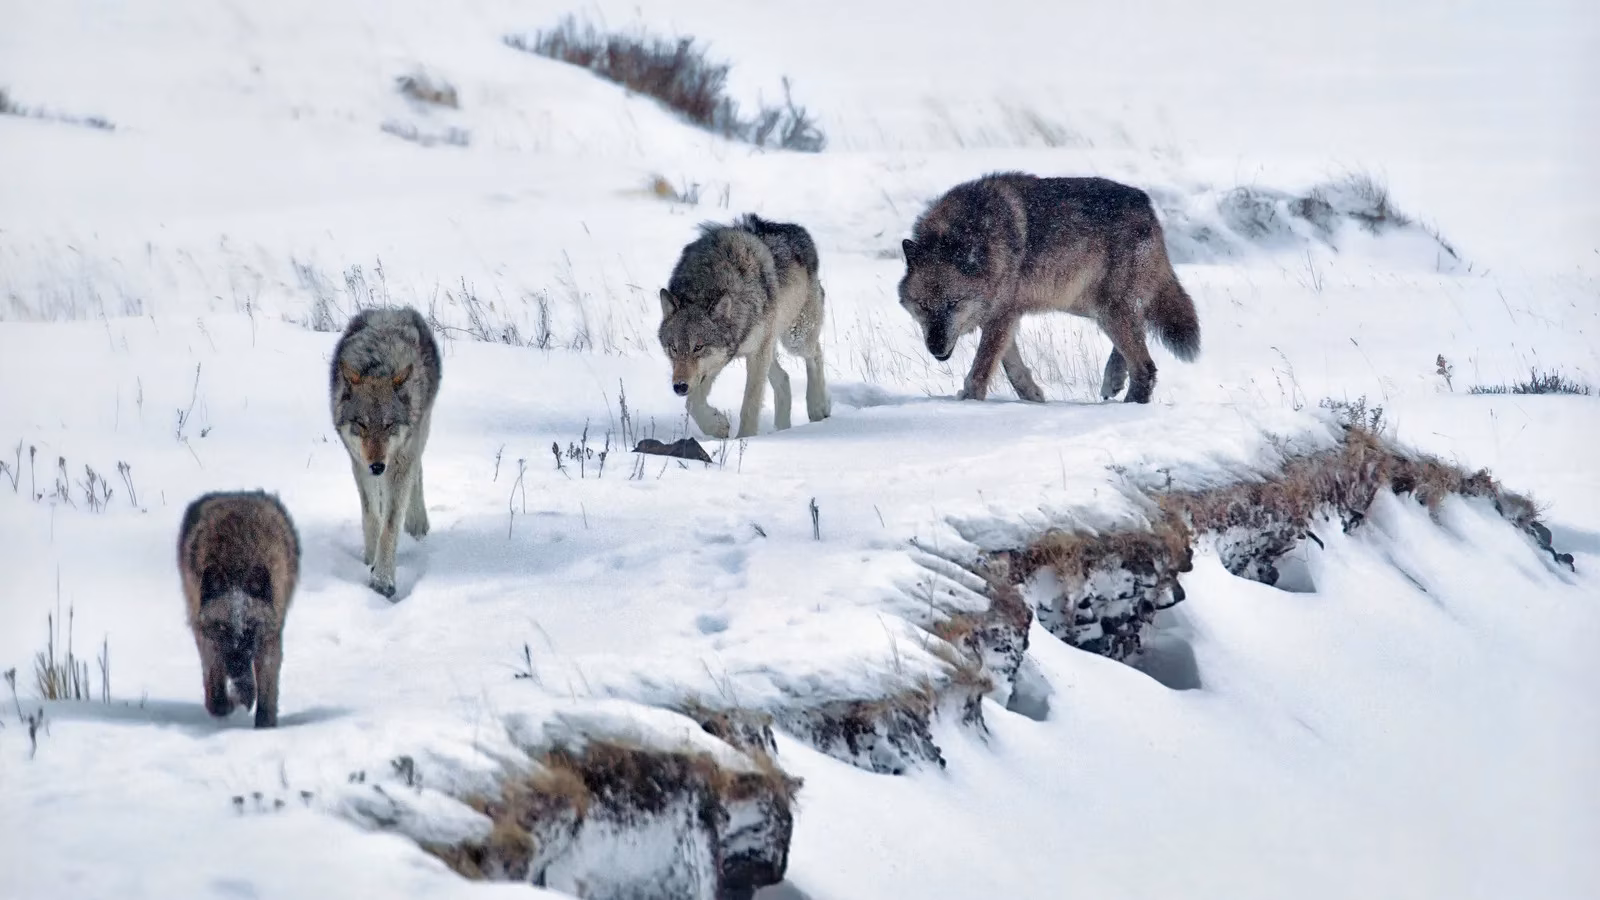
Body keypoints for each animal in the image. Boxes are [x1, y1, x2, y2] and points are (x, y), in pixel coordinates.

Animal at [178, 490, 301, 729]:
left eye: (250, 627)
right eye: (222, 627)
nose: (236, 668)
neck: (236, 563)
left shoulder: (269, 637)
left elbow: (266, 691)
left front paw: (265, 725)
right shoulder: (209, 639)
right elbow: (216, 697)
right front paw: (235, 700)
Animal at [330, 306, 442, 598]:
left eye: (389, 425)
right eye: (362, 424)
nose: (378, 466)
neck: (379, 365)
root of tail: (390, 309)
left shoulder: (400, 460)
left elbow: (390, 525)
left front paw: (382, 580)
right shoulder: (359, 463)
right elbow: (372, 516)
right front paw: (370, 560)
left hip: (419, 434)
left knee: (417, 473)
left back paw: (418, 526)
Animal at [658, 214, 831, 439]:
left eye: (698, 347)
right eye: (674, 348)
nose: (679, 386)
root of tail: (799, 231)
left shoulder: (755, 354)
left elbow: (749, 404)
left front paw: (745, 440)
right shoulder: (718, 361)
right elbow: (692, 404)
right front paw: (718, 426)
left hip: (794, 340)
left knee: (816, 354)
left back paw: (819, 407)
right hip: (771, 347)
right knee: (784, 378)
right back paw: (782, 429)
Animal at [898, 172, 1201, 404]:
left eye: (954, 303)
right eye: (924, 306)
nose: (936, 347)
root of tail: (1146, 203)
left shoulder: (1001, 315)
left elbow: (981, 369)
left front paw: (968, 404)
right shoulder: (1006, 316)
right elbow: (1013, 368)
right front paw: (1033, 398)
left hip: (1106, 309)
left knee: (1146, 366)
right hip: (1090, 306)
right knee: (1140, 332)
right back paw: (1113, 381)